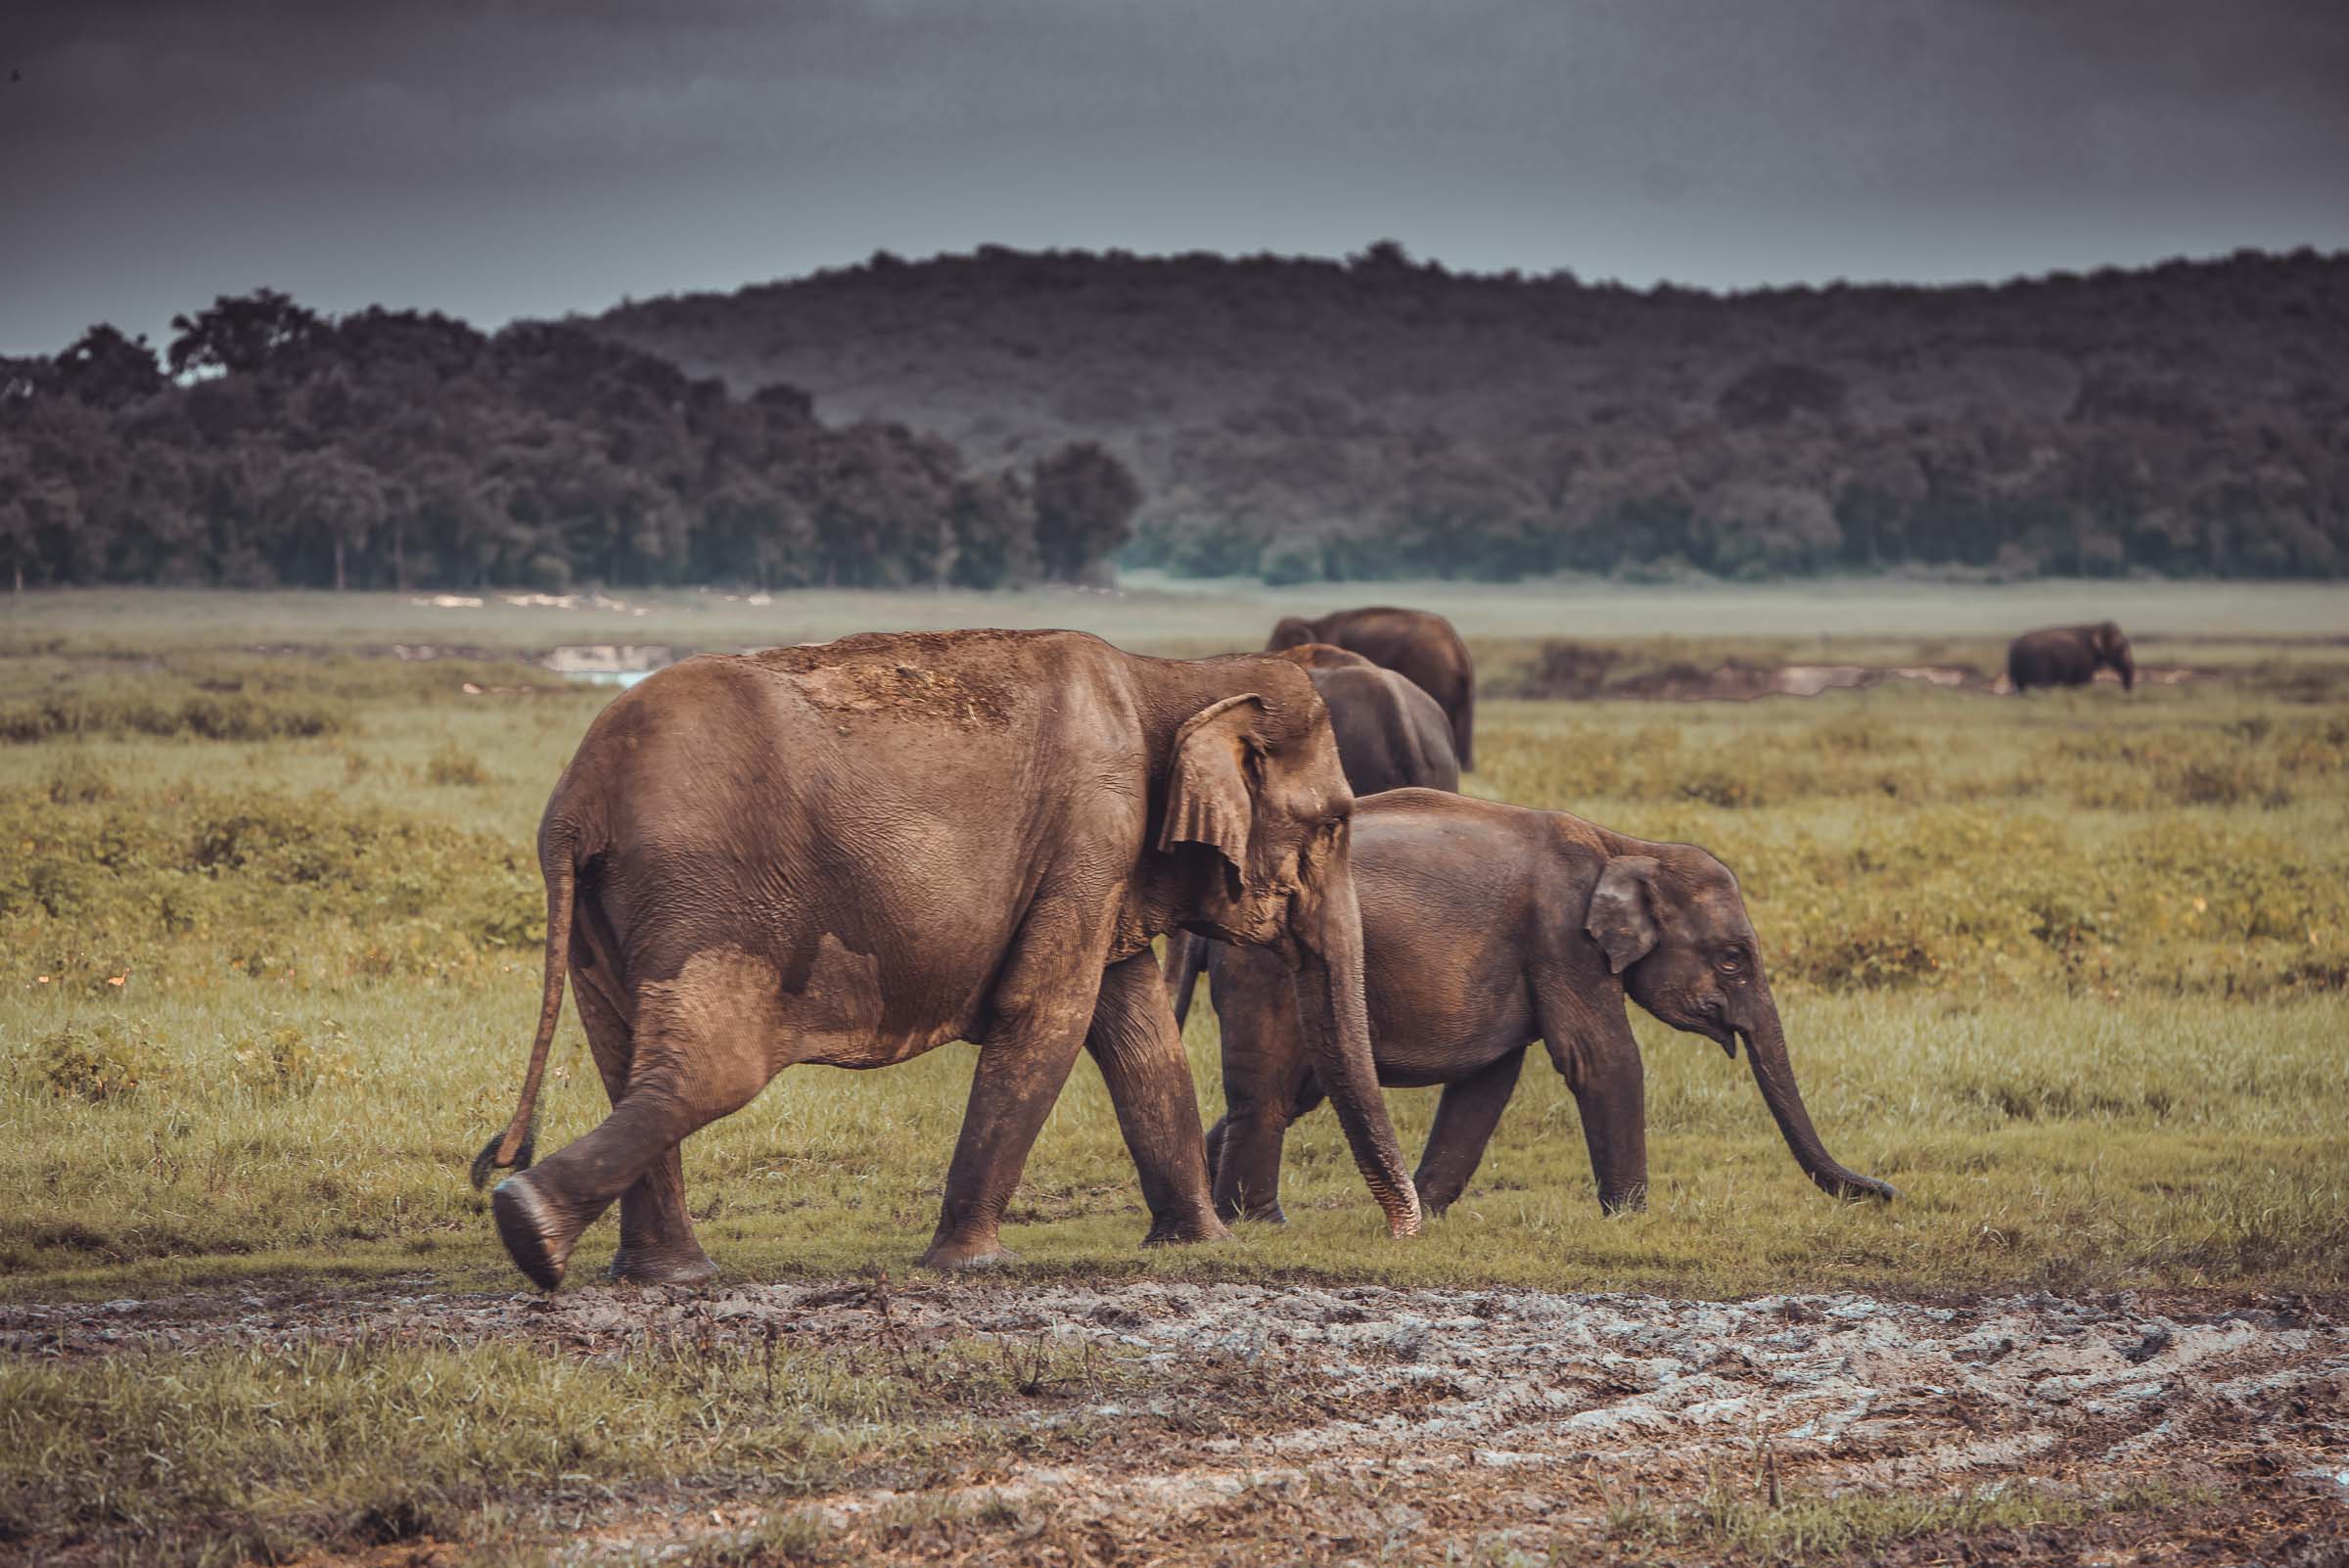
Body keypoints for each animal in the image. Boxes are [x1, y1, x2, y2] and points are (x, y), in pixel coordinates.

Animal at [472, 623, 1409, 1286]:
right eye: (1334, 823)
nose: (1406, 1231)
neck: (1173, 675)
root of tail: (579, 798)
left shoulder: (1101, 856)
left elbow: (1137, 1031)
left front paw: (1198, 1247)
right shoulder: (1093, 826)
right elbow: (1048, 1011)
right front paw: (973, 1264)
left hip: (610, 913)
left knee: (626, 1054)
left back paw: (653, 1271)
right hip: (706, 897)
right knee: (711, 1067)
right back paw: (529, 1225)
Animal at [1202, 788, 1898, 1221]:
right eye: (1732, 958)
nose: (1888, 1192)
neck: (1627, 846)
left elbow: (1487, 1080)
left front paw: (1430, 1214)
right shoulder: (1562, 935)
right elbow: (1602, 1058)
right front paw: (1632, 1220)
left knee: (1298, 1092)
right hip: (1266, 966)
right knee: (1270, 1091)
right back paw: (1260, 1222)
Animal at [2001, 623, 2133, 690]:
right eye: (2121, 647)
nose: (2126, 692)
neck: (2094, 627)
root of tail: (2014, 649)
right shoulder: (2084, 659)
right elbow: (2084, 682)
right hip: (2038, 664)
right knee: (2041, 686)